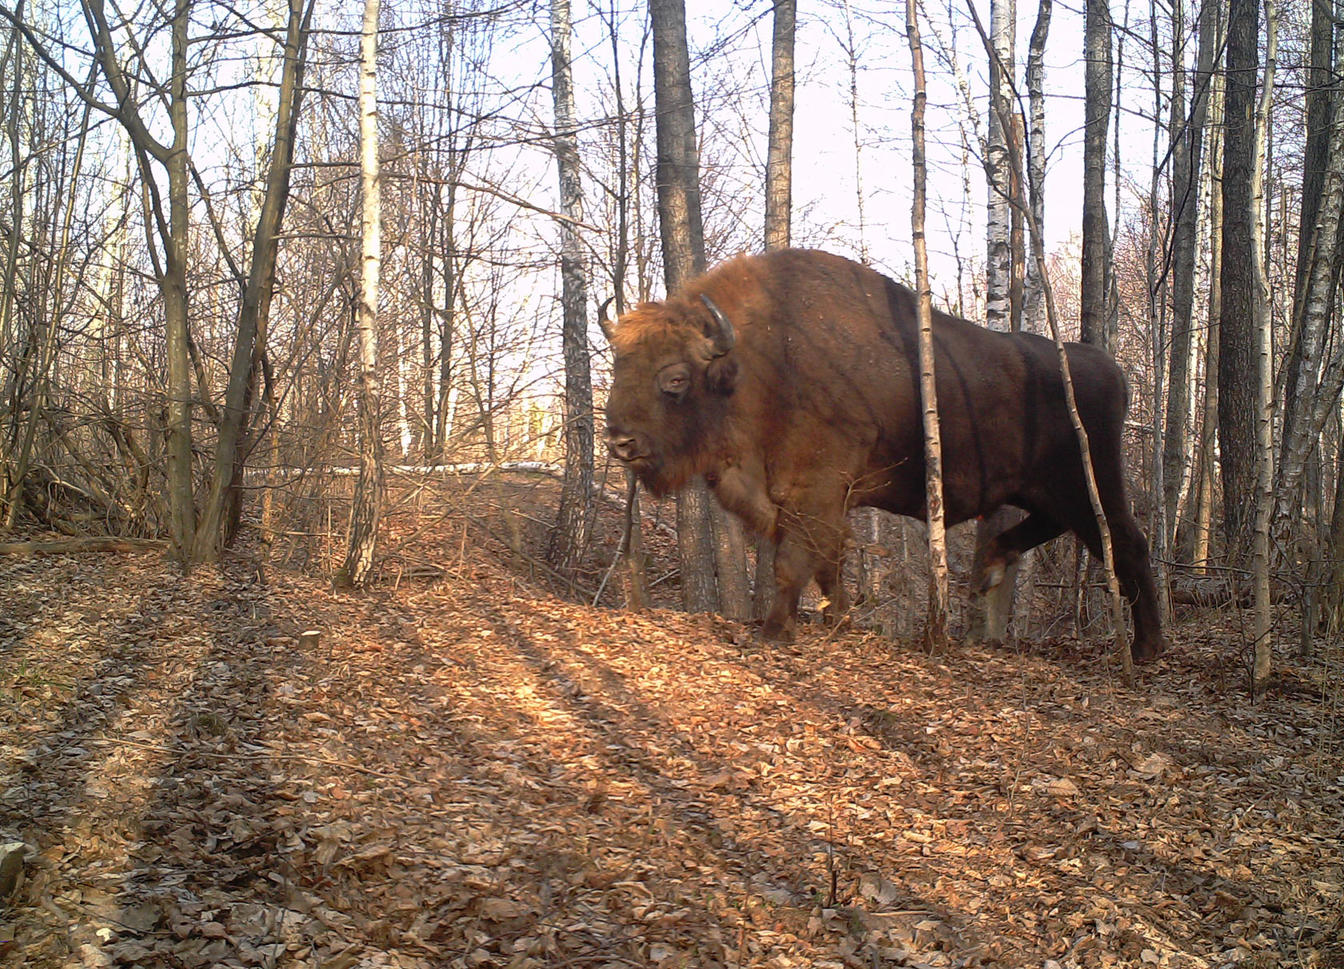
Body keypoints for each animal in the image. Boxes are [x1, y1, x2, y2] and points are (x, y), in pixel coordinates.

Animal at [607, 245, 1166, 661]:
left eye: (675, 379)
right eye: (620, 364)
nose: (620, 441)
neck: (756, 363)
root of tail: (1110, 369)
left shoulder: (815, 491)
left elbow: (795, 561)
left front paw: (775, 632)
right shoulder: (811, 501)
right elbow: (828, 561)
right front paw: (838, 620)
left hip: (1088, 483)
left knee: (1128, 544)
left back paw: (1147, 649)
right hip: (1046, 490)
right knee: (1051, 531)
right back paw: (990, 568)